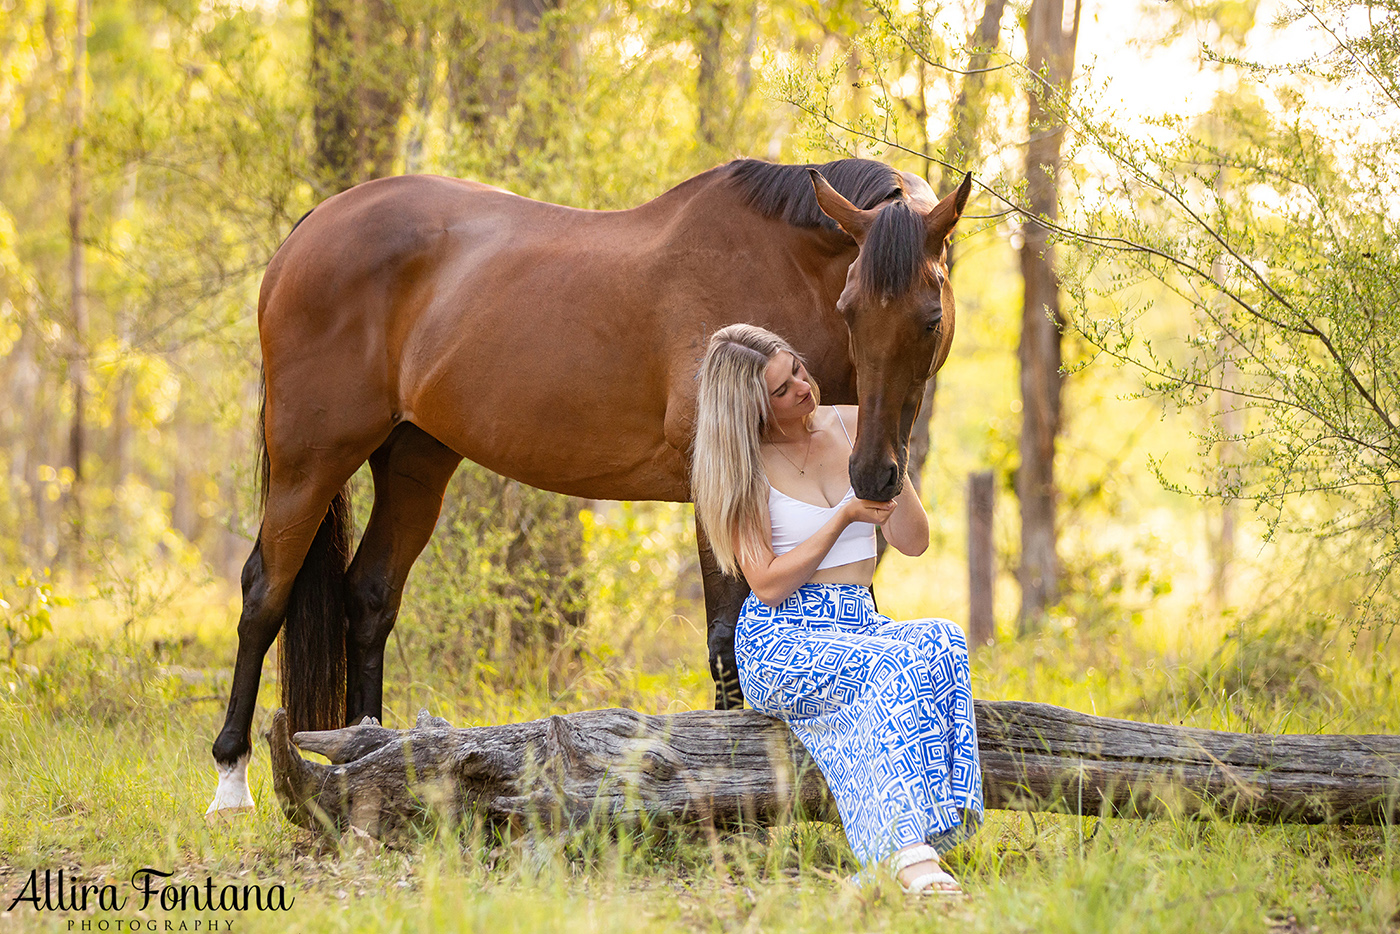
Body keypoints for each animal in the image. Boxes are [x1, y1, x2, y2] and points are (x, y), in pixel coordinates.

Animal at [207, 158, 968, 812]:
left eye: (929, 319)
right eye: (849, 309)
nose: (873, 473)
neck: (778, 269)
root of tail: (314, 226)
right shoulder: (717, 488)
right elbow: (725, 638)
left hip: (415, 462)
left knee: (369, 596)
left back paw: (372, 756)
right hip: (310, 458)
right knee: (264, 592)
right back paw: (231, 779)